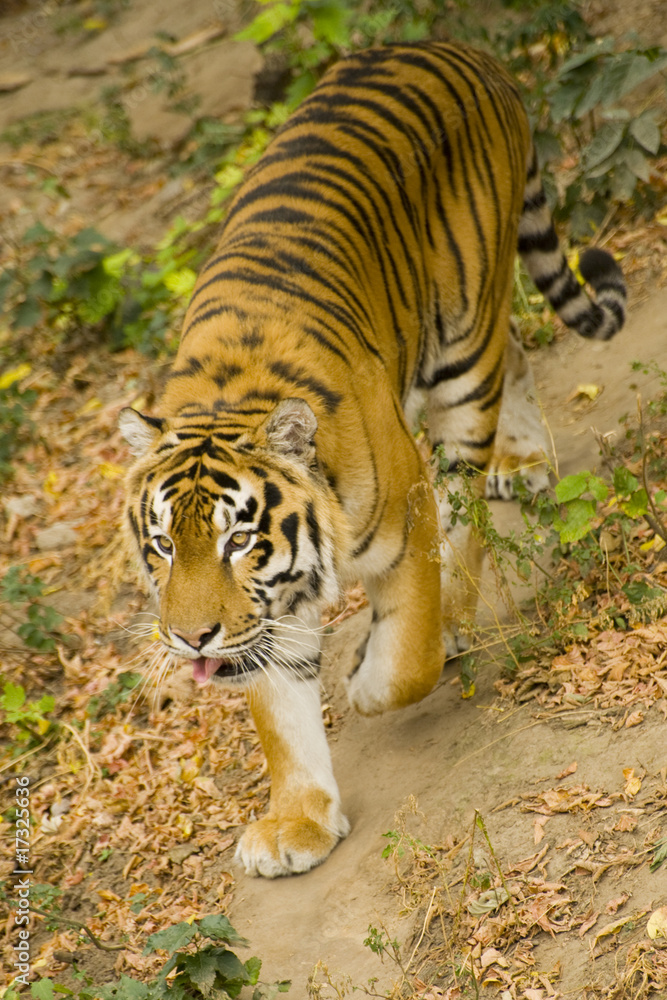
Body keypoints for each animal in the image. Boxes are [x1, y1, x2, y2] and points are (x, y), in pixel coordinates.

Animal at [119, 41, 626, 878]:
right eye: (161, 544)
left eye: (237, 540)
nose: (192, 640)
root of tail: (458, 48)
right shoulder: (265, 612)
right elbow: (279, 714)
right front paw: (297, 824)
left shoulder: (403, 519)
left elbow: (405, 658)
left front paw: (367, 679)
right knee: (517, 352)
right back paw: (521, 459)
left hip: (462, 357)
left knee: (468, 502)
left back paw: (468, 579)